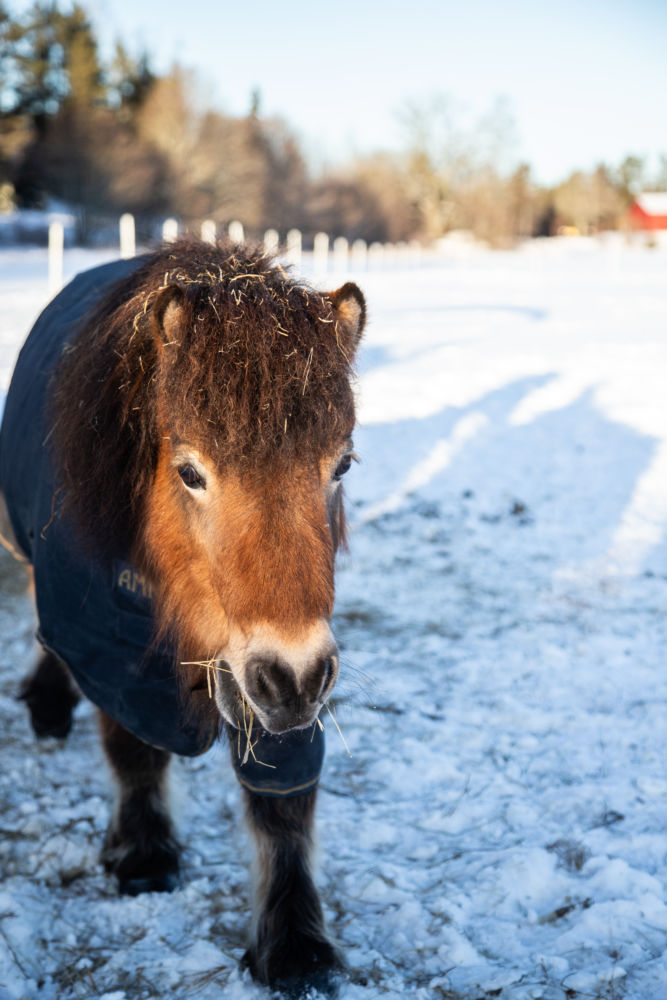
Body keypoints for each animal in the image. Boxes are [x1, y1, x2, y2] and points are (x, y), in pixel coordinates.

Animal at [0, 238, 366, 988]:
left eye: (341, 464)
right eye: (191, 472)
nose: (293, 678)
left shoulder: (284, 679)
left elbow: (283, 802)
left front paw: (294, 940)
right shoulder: (110, 641)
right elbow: (133, 749)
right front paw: (143, 853)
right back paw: (47, 705)